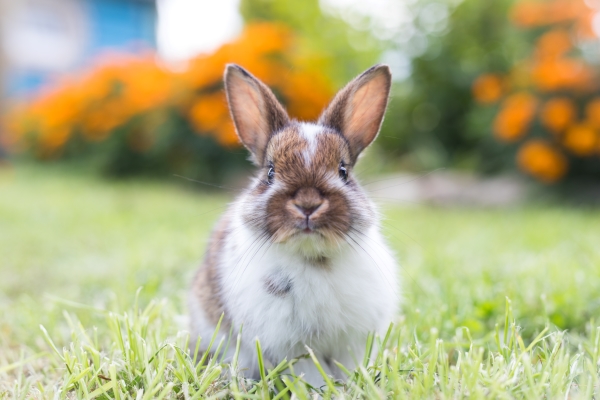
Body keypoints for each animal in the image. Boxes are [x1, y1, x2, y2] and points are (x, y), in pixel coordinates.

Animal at [190, 64, 400, 386]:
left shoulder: (352, 341)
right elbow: (309, 373)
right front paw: (323, 389)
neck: (313, 257)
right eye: (270, 173)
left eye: (343, 171)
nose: (308, 204)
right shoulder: (290, 346)